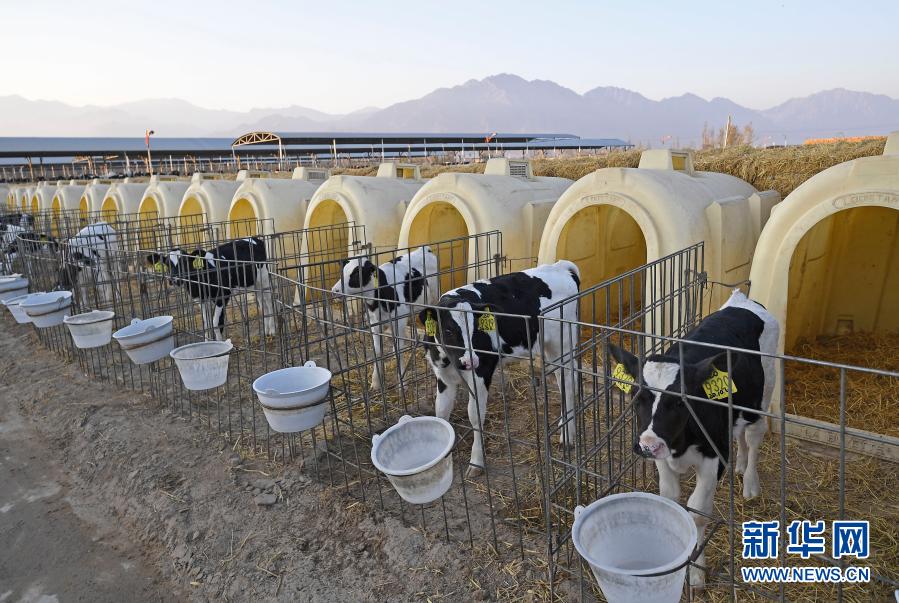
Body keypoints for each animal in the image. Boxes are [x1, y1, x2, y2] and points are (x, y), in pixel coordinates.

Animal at [146, 236, 275, 341]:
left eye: (185, 263)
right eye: (167, 264)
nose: (174, 280)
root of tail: (255, 239)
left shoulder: (223, 296)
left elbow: (216, 323)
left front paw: (221, 344)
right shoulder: (201, 300)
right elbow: (207, 324)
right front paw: (208, 343)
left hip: (264, 279)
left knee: (269, 303)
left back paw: (273, 330)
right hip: (255, 285)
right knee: (263, 305)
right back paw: (266, 331)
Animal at [331, 246, 439, 390]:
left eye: (356, 274)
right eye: (341, 273)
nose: (334, 291)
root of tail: (424, 249)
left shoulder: (399, 321)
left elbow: (399, 350)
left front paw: (402, 382)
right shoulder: (375, 324)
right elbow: (377, 352)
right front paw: (376, 381)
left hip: (434, 296)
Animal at [419, 260, 581, 477]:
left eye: (476, 330)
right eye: (448, 330)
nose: (470, 362)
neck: (449, 360)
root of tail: (560, 266)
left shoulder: (481, 373)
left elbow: (475, 416)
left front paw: (476, 462)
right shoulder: (443, 376)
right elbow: (441, 411)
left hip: (563, 344)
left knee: (569, 384)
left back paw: (568, 435)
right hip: (550, 349)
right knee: (565, 383)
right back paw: (564, 424)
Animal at [607, 289, 779, 587]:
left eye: (679, 402)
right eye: (637, 397)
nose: (647, 445)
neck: (680, 444)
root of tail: (743, 300)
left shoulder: (713, 459)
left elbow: (697, 512)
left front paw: (697, 571)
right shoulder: (662, 457)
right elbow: (670, 499)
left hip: (762, 395)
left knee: (754, 436)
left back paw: (750, 484)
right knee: (740, 436)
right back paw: (740, 465)